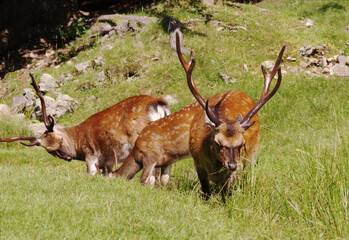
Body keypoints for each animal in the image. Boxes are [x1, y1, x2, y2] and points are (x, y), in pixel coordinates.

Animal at [0, 72, 170, 175]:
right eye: (50, 151)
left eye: (61, 139)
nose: (68, 157)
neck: (78, 139)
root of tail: (159, 104)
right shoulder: (107, 162)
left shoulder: (91, 154)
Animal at [185, 42, 286, 200]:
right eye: (218, 142)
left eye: (241, 144)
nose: (232, 165)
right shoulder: (198, 164)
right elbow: (206, 193)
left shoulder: (232, 173)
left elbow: (227, 195)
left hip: (250, 157)